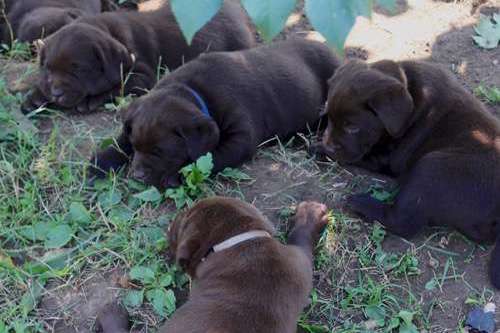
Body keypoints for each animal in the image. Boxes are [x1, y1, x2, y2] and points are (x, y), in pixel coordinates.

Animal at [21, 0, 256, 113]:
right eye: (48, 68)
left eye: (78, 69)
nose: (57, 93)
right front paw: (36, 96)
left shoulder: (143, 76)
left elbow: (119, 85)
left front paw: (90, 100)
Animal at [90, 38, 340, 188]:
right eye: (136, 146)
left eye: (161, 152)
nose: (137, 176)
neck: (192, 90)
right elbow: (121, 139)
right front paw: (101, 161)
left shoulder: (241, 137)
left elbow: (211, 157)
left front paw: (178, 175)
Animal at [95, 197, 330, 332]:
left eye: (181, 223)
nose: (175, 217)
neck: (238, 241)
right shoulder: (298, 261)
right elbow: (302, 237)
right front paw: (311, 214)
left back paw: (111, 314)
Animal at [316, 60, 500, 288]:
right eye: (331, 117)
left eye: (352, 127)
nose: (329, 146)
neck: (410, 90)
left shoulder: (388, 157)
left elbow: (361, 156)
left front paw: (316, 148)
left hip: (432, 167)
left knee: (402, 222)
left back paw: (361, 203)